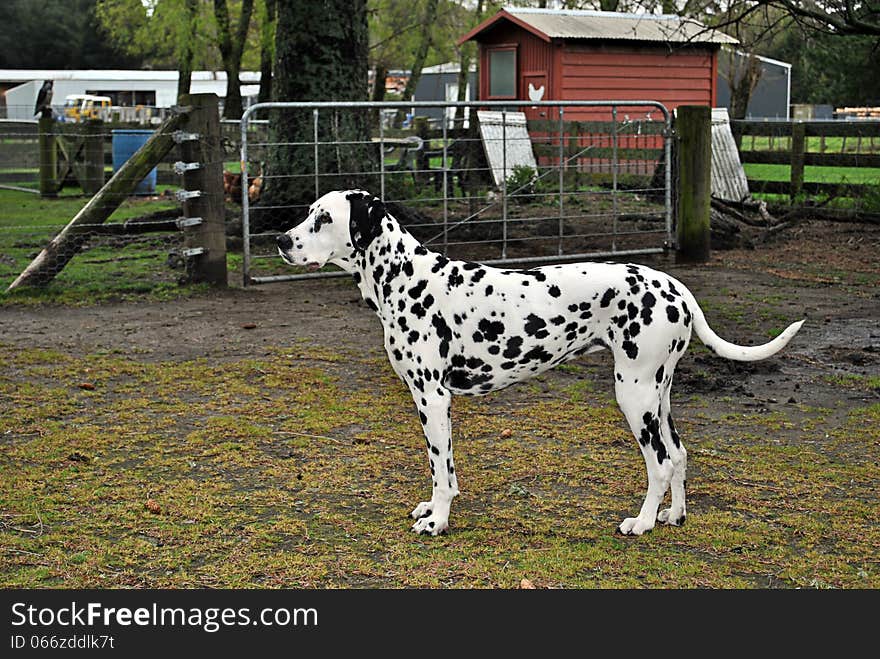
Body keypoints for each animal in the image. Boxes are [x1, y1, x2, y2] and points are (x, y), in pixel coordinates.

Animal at [276, 189, 804, 536]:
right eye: (308, 214)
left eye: (323, 219)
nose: (282, 241)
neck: (407, 277)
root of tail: (674, 286)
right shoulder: (432, 403)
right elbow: (442, 471)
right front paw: (432, 509)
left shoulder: (433, 398)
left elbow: (440, 468)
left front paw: (439, 521)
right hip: (659, 397)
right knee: (679, 455)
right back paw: (673, 515)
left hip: (633, 396)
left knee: (659, 462)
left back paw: (643, 522)